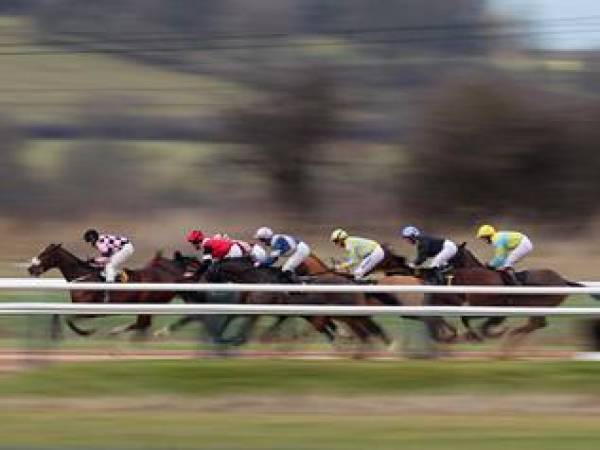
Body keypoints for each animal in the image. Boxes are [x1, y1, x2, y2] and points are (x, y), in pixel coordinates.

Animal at [27, 244, 180, 336]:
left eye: (44, 254)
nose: (30, 268)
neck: (83, 277)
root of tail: (170, 277)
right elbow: (65, 318)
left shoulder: (91, 311)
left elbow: (69, 319)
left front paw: (88, 332)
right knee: (143, 324)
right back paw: (117, 331)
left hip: (146, 303)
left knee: (143, 323)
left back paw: (115, 331)